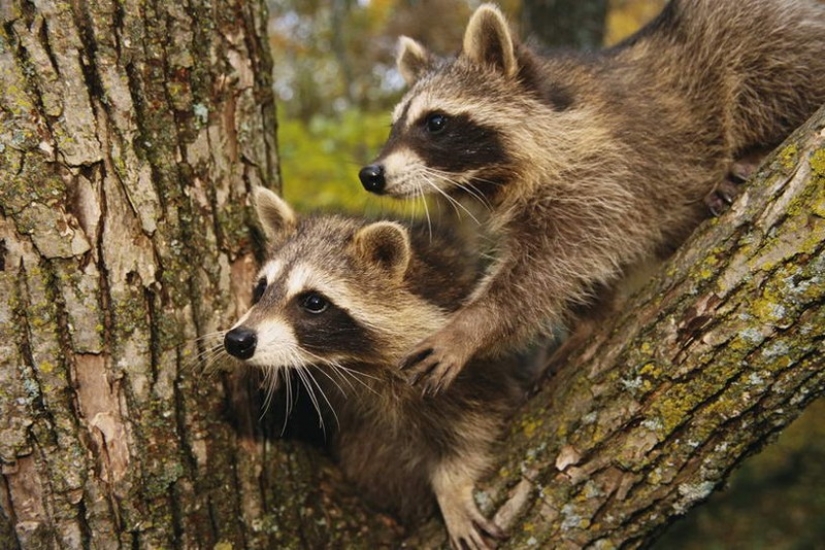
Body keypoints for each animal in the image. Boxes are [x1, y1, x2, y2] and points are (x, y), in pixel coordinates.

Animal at [223, 186, 525, 549]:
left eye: (313, 302)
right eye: (262, 288)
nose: (237, 340)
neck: (349, 363)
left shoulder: (459, 364)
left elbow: (476, 425)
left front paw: (453, 486)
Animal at [359, 0, 825, 393]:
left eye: (435, 122)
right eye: (394, 126)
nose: (371, 175)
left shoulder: (600, 169)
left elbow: (552, 264)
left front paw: (472, 325)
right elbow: (572, 265)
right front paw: (589, 321)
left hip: (769, 32)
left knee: (764, 64)